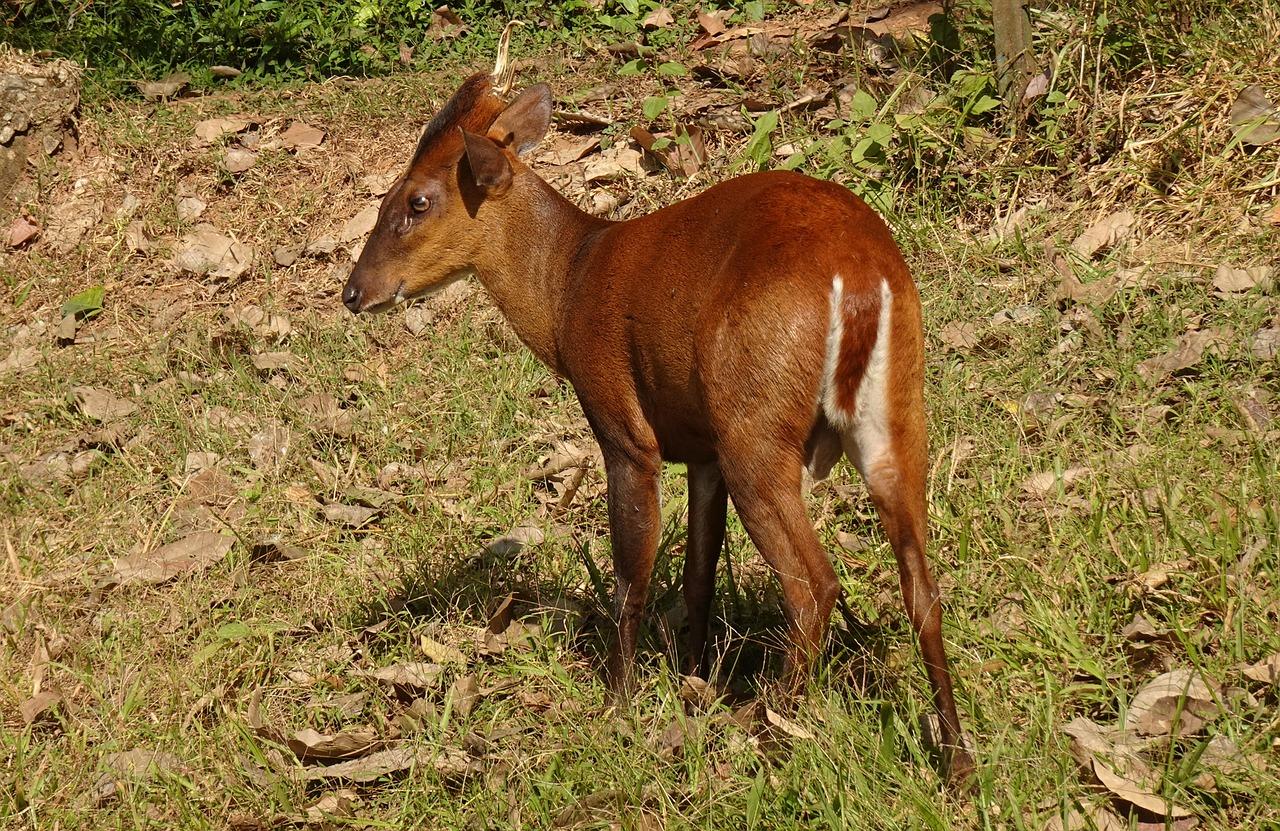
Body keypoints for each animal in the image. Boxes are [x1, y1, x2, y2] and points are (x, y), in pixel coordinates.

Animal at [345, 71, 972, 783]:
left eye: (417, 200)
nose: (353, 292)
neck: (569, 284)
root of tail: (862, 278)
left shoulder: (626, 430)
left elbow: (632, 571)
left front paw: (620, 702)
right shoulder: (700, 449)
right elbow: (699, 570)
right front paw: (692, 676)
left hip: (755, 425)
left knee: (814, 584)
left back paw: (767, 727)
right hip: (896, 417)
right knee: (922, 586)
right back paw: (955, 759)